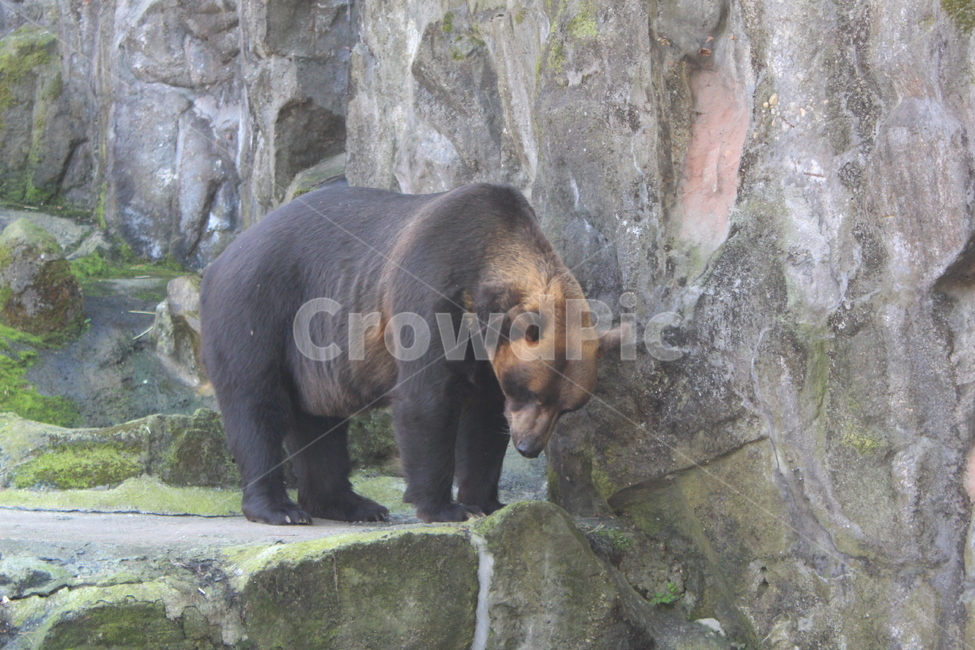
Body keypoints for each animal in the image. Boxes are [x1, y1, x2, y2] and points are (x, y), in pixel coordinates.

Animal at [200, 183, 623, 524]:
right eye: (533, 392)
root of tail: (221, 257)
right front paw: (445, 508)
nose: (529, 447)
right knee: (255, 405)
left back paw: (352, 505)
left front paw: (487, 502)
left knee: (318, 425)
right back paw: (280, 509)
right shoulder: (431, 292)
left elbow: (485, 421)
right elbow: (427, 401)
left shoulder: (487, 359)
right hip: (260, 306)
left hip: (311, 357)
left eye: (567, 407)